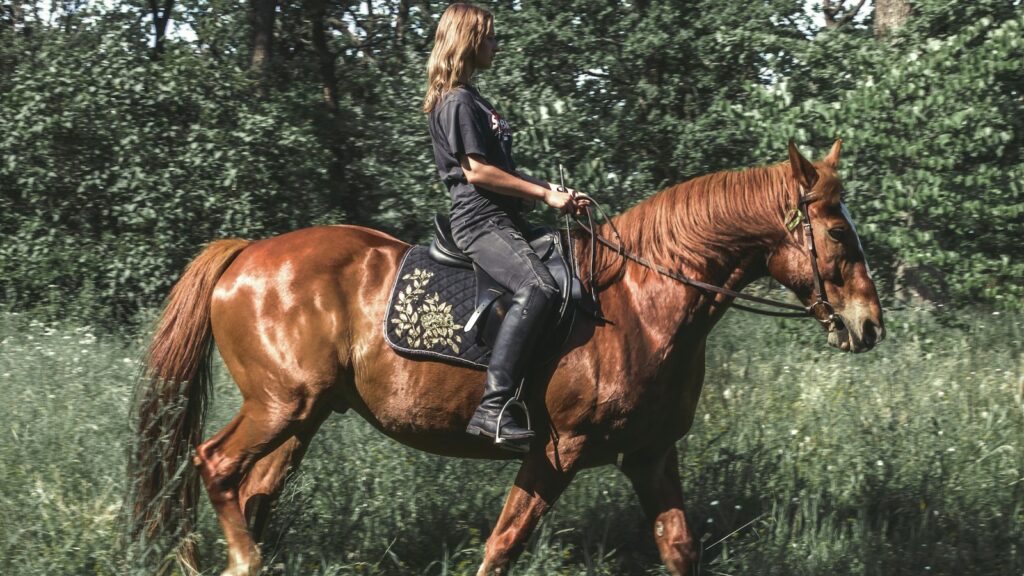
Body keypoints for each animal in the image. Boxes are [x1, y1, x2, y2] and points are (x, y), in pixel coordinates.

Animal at [128, 140, 884, 576]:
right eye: (837, 232)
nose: (869, 325)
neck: (643, 305)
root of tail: (246, 255)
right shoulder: (558, 449)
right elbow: (505, 544)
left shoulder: (650, 453)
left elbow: (680, 549)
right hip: (281, 404)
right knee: (214, 465)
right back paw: (238, 561)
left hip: (305, 414)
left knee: (253, 488)